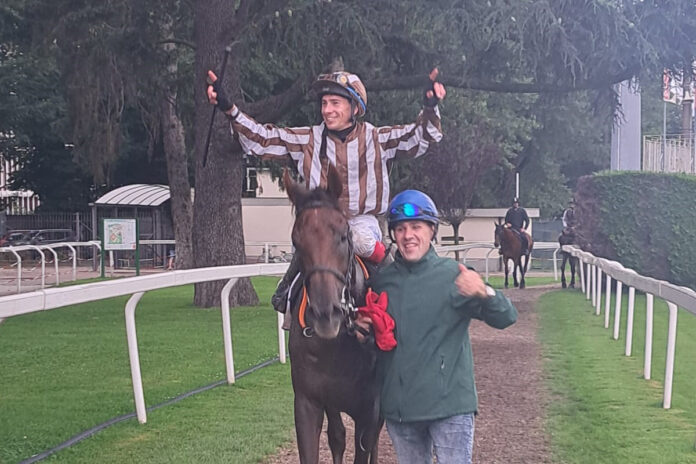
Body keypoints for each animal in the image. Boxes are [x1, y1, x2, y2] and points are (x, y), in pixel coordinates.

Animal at [282, 169, 380, 462]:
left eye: (343, 236)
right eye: (296, 241)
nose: (327, 313)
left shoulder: (368, 409)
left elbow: (366, 445)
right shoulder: (308, 402)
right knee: (337, 436)